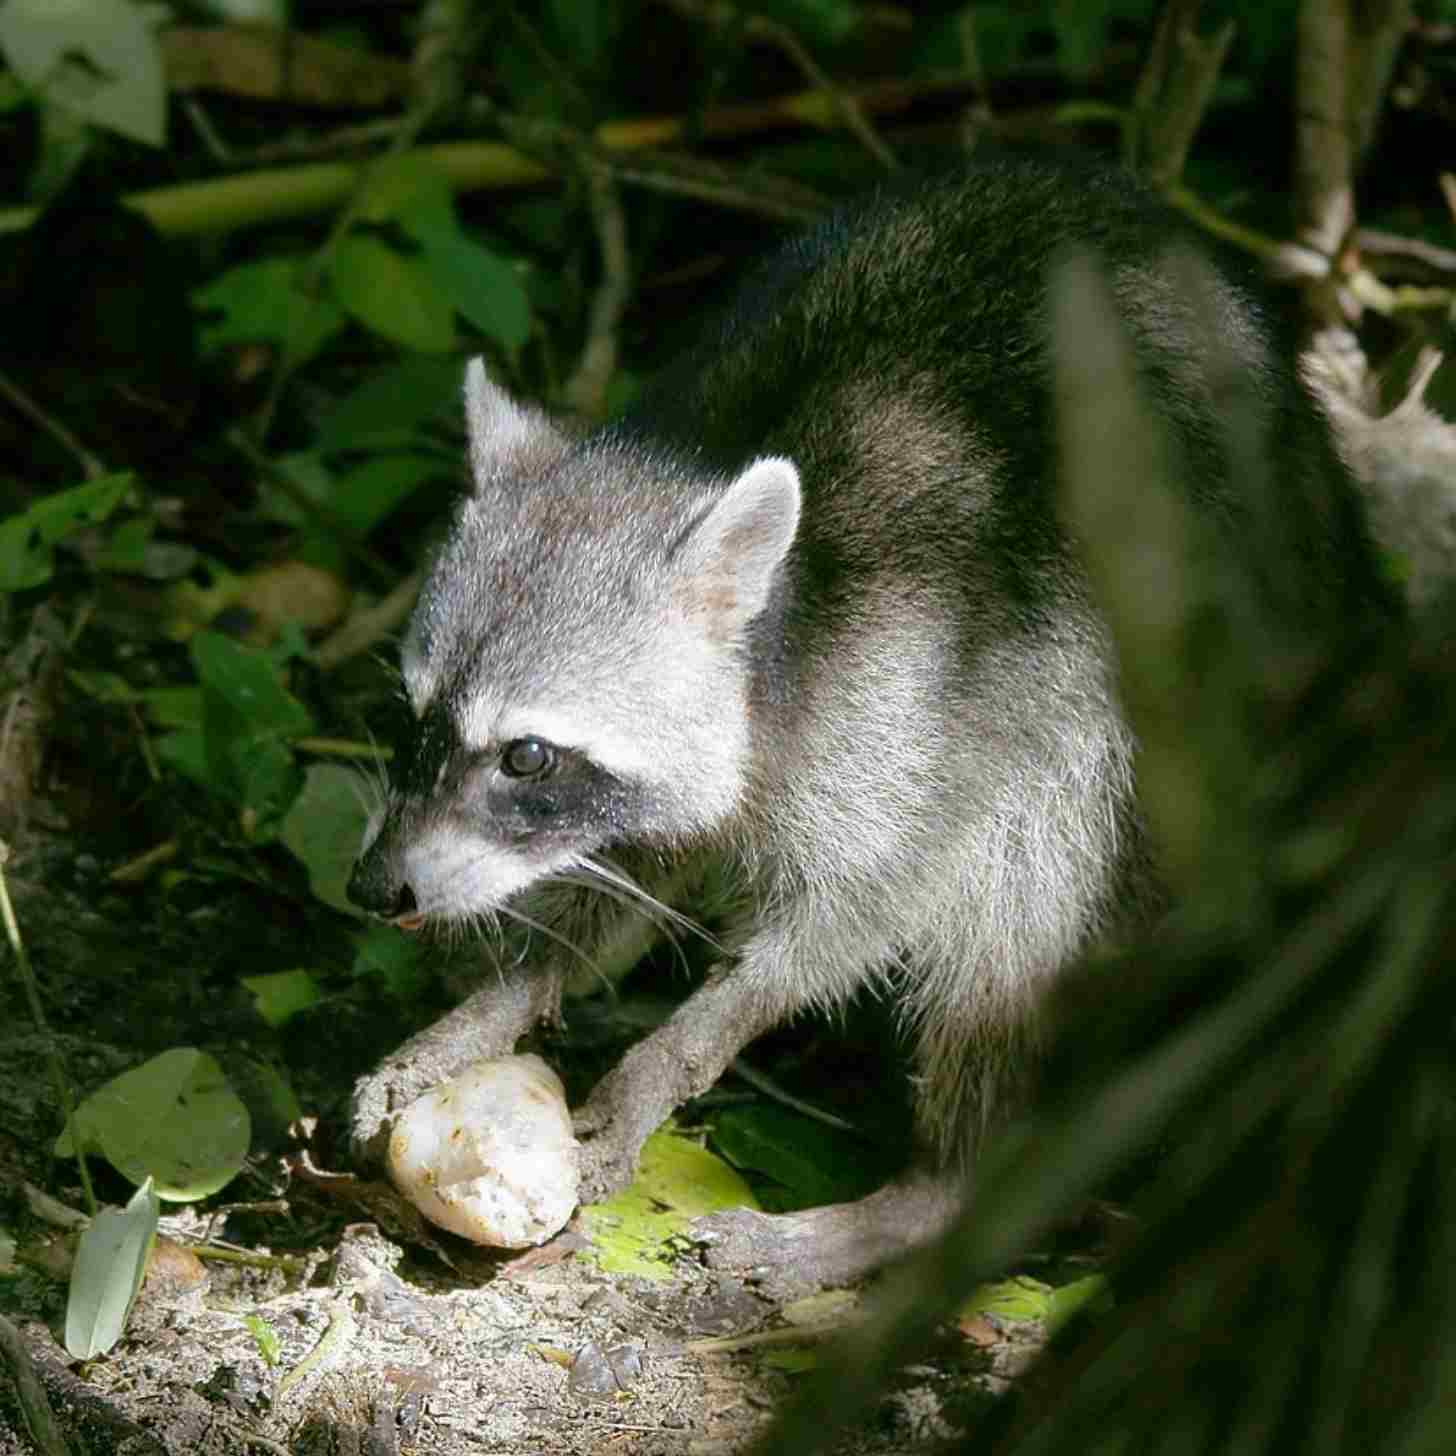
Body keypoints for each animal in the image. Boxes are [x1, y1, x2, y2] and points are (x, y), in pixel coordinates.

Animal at [348, 155, 1380, 1292]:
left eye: (525, 755)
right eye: (409, 715)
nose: (376, 889)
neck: (771, 629)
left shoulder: (917, 714)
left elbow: (859, 914)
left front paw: (681, 1045)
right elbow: (626, 878)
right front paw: (504, 992)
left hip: (1166, 723)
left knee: (1023, 911)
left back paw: (928, 1196)